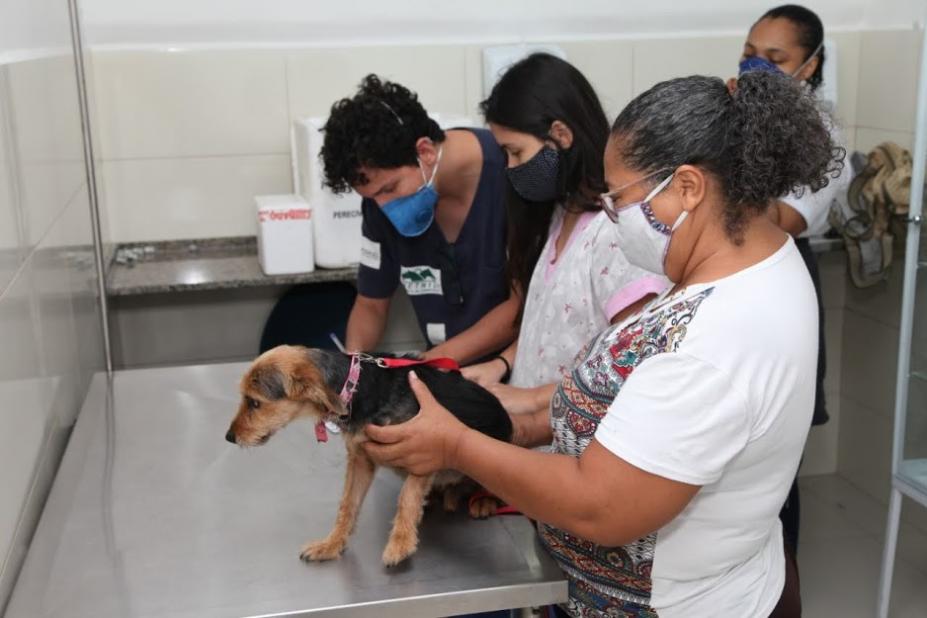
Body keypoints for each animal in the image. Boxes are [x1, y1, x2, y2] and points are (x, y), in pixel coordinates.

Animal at [226, 344, 516, 564]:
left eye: (254, 402)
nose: (229, 437)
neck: (355, 387)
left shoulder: (422, 451)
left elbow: (407, 498)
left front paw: (400, 544)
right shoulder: (360, 459)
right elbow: (347, 505)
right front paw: (331, 544)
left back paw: (483, 499)